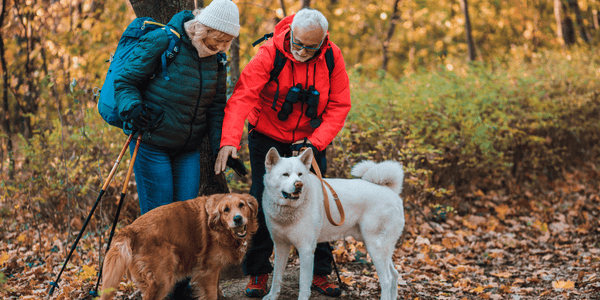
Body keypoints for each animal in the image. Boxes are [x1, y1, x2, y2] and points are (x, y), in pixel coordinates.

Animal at [262, 148, 406, 300]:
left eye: (300, 174)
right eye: (285, 174)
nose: (299, 184)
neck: (289, 210)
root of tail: (390, 191)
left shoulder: (306, 249)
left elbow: (304, 284)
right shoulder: (280, 246)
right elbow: (277, 276)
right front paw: (272, 295)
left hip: (375, 247)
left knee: (386, 280)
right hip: (377, 247)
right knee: (394, 274)